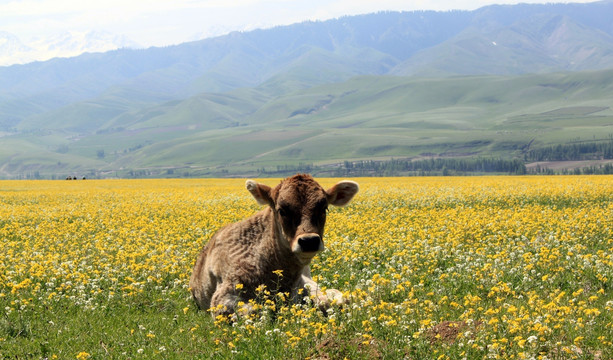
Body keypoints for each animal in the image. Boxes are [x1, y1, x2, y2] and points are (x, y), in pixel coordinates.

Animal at [189, 174, 356, 318]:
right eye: (282, 210)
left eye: (324, 209)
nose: (309, 241)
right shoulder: (222, 298)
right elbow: (253, 310)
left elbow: (334, 299)